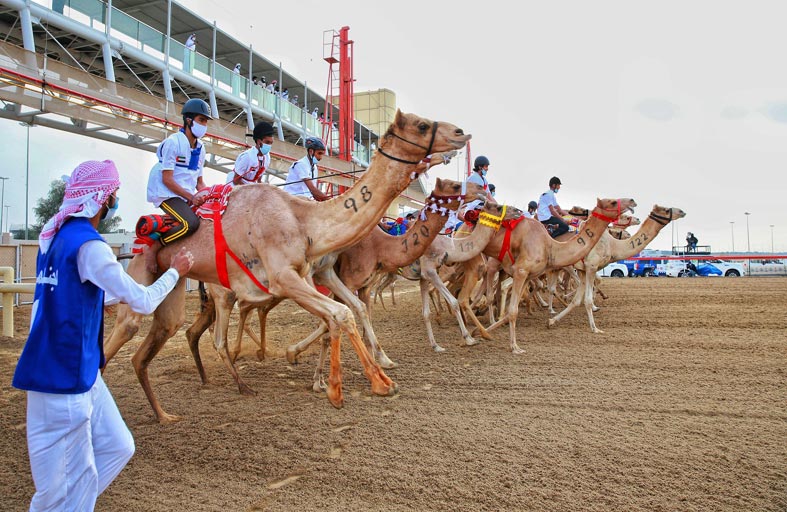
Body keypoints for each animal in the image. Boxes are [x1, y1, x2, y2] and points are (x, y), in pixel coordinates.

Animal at [104, 110, 474, 422]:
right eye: (422, 126)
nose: (460, 132)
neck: (304, 221)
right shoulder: (285, 277)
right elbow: (340, 314)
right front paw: (344, 385)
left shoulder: (313, 273)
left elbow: (346, 313)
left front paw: (375, 374)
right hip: (158, 276)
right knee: (132, 330)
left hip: (177, 283)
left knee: (163, 335)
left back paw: (171, 410)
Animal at [464, 198, 636, 354]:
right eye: (612, 202)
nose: (632, 202)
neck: (551, 246)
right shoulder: (525, 271)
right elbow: (515, 308)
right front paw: (514, 346)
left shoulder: (539, 272)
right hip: (488, 264)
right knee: (483, 292)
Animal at [548, 204, 684, 332]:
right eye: (666, 210)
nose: (682, 211)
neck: (613, 245)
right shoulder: (591, 266)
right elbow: (588, 299)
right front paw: (595, 328)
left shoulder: (583, 270)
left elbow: (576, 300)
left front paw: (552, 320)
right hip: (564, 267)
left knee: (554, 286)